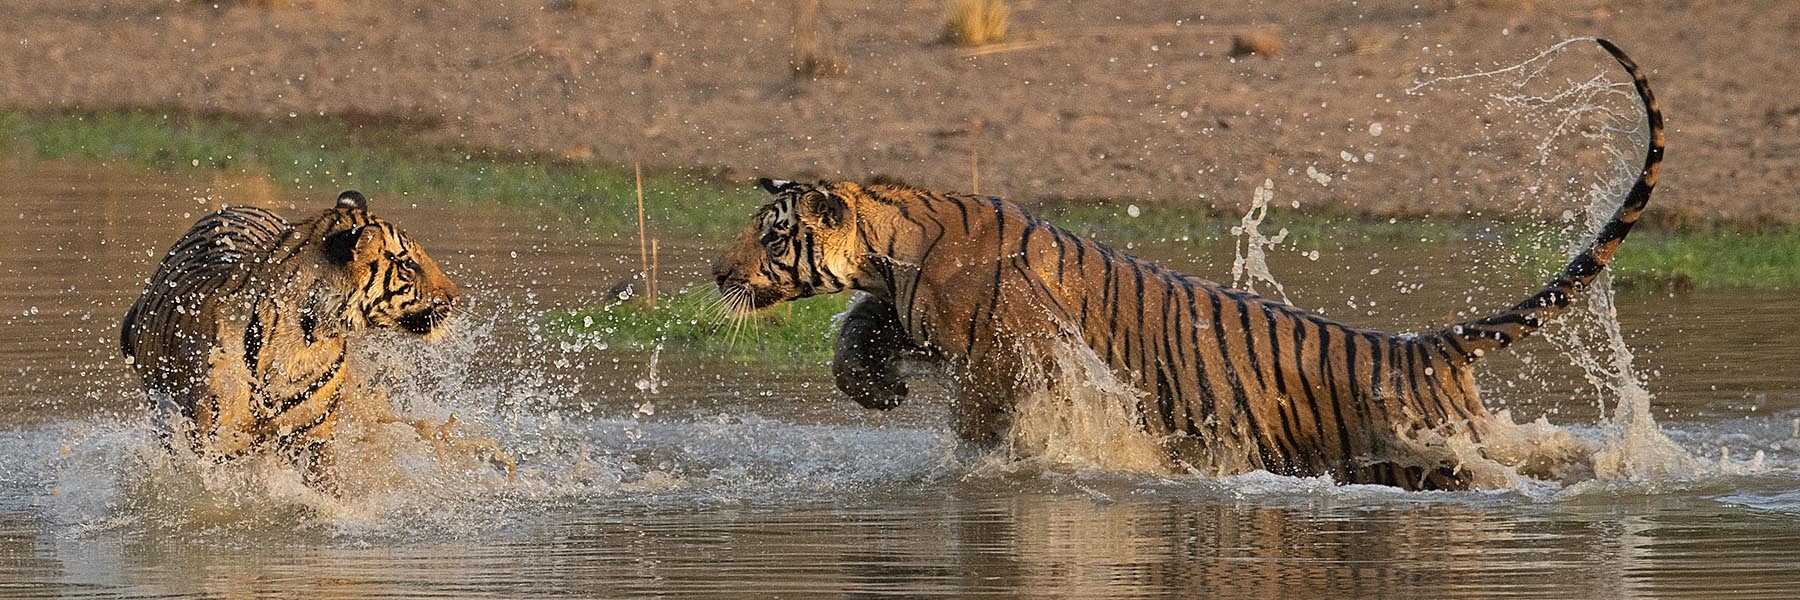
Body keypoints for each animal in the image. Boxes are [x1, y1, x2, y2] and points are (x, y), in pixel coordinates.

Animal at [122, 190, 511, 490]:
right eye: (407, 265)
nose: (455, 297)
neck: (307, 341)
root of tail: (232, 207)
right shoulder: (218, 438)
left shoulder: (315, 436)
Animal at [709, 38, 1663, 490]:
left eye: (771, 235)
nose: (717, 274)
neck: (894, 249)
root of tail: (1427, 345)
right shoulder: (904, 312)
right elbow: (857, 331)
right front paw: (871, 388)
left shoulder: (1007, 354)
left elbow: (987, 416)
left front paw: (990, 467)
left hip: (1420, 451)